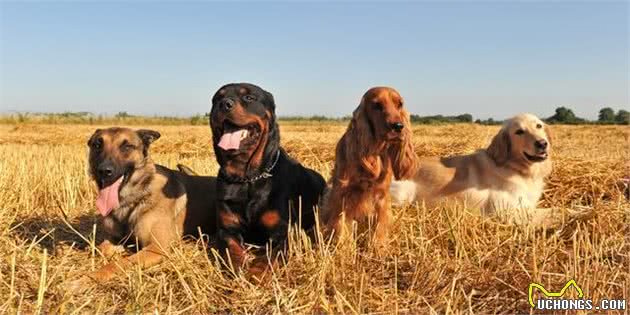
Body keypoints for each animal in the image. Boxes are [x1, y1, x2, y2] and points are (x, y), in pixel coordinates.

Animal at [212, 82, 328, 276]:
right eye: (217, 98)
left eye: (249, 97)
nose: (224, 104)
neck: (248, 178)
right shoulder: (226, 229)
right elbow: (231, 248)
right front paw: (238, 266)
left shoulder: (282, 233)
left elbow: (268, 257)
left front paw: (255, 274)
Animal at [326, 87, 420, 251]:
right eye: (377, 105)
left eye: (400, 104)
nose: (398, 126)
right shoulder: (341, 194)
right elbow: (340, 224)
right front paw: (343, 248)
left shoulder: (381, 197)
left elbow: (379, 227)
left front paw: (378, 248)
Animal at [390, 113, 564, 227]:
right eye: (519, 132)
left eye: (539, 126)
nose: (542, 143)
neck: (513, 167)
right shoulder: (509, 212)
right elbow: (558, 211)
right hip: (405, 192)